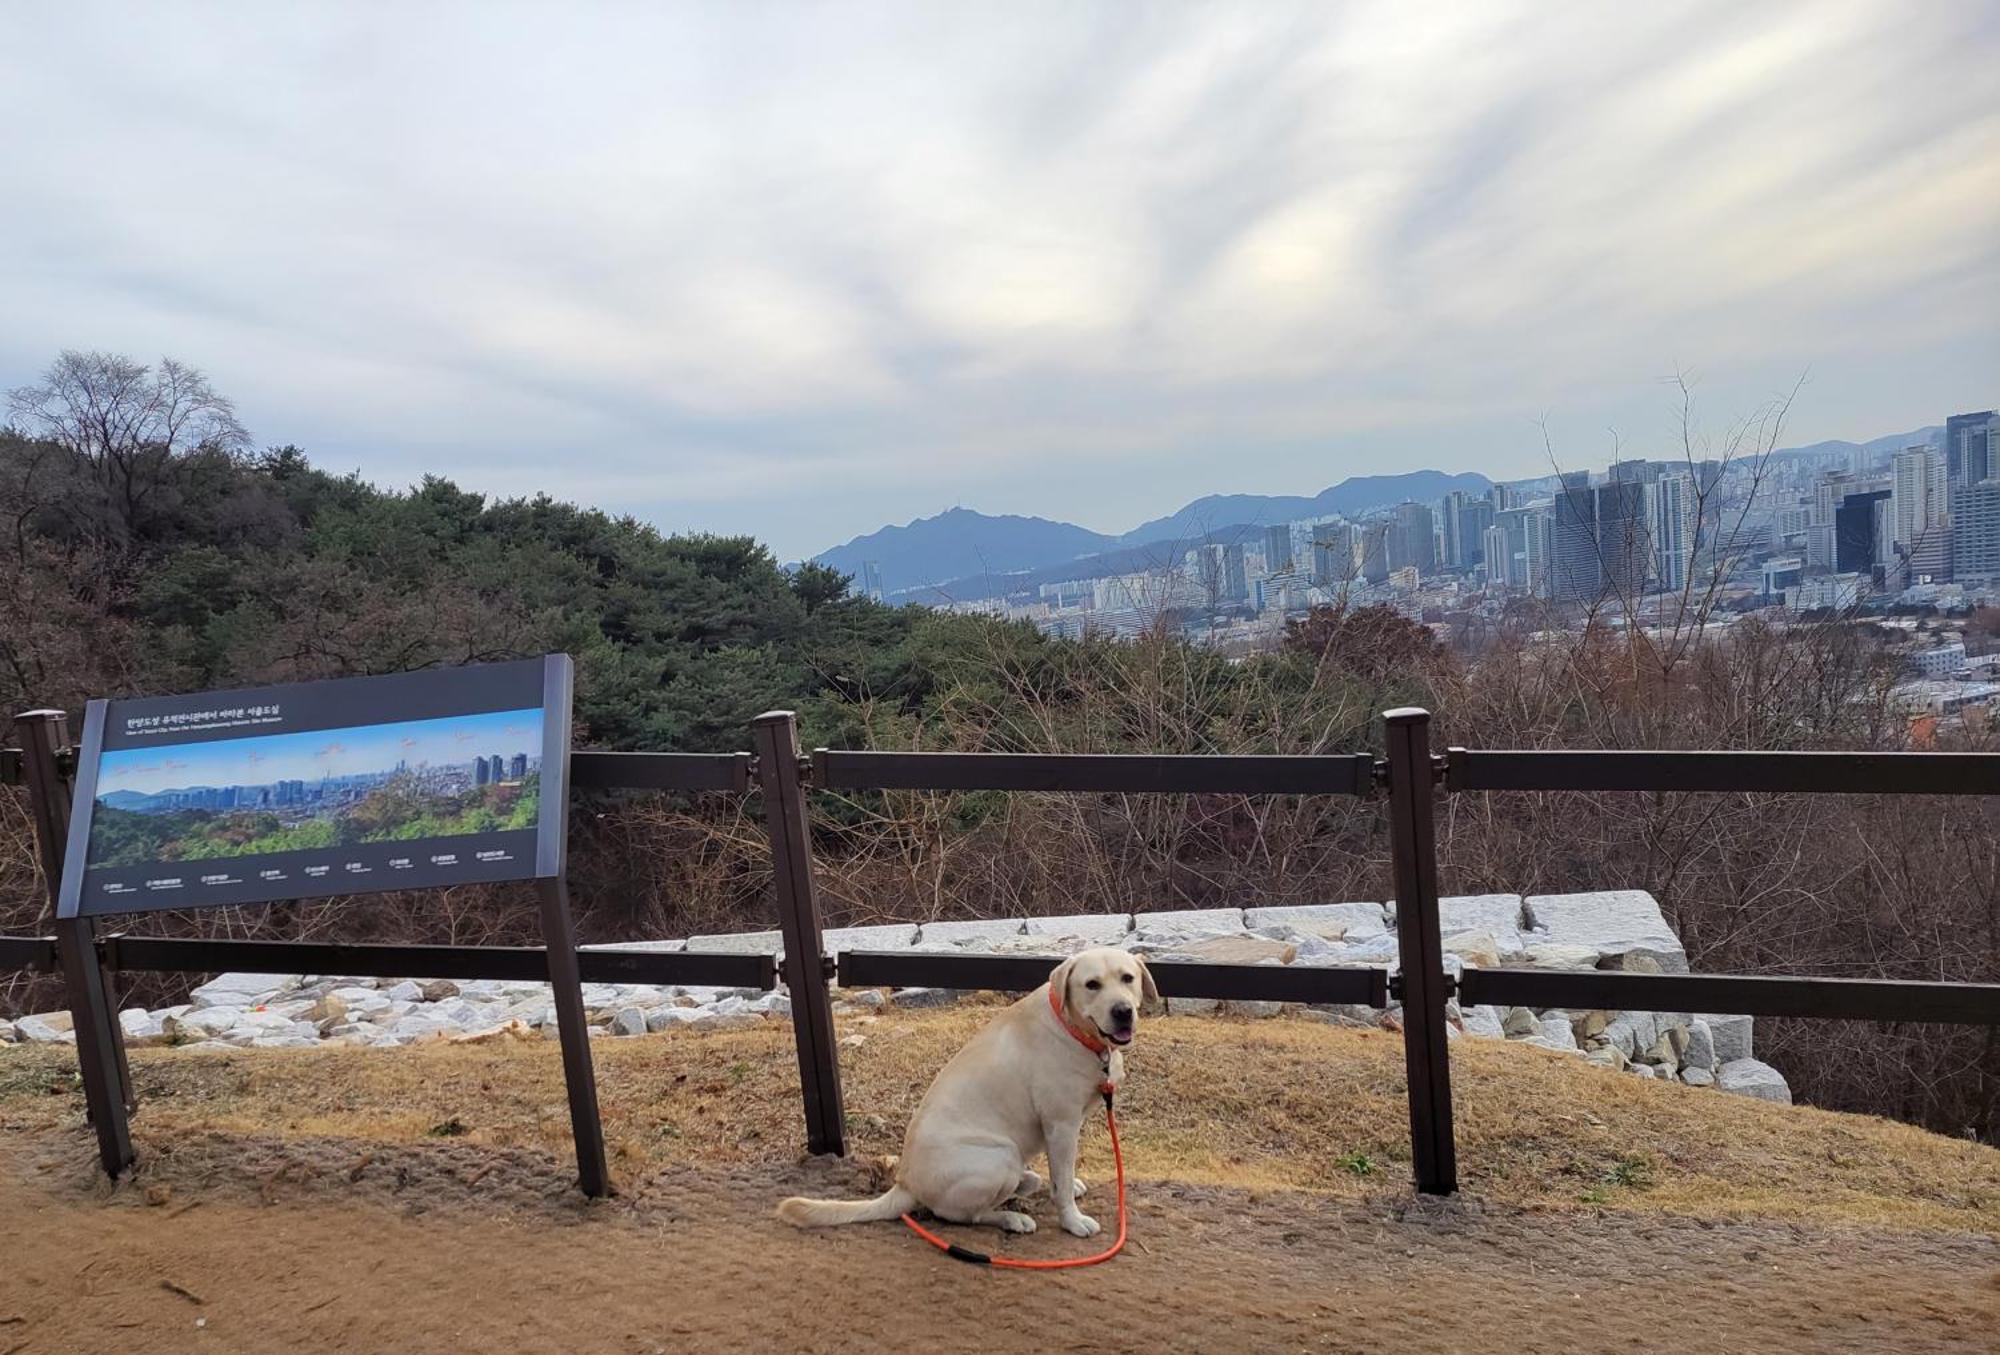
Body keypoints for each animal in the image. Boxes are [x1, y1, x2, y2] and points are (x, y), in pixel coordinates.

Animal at [780, 951, 1160, 1239]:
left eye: (1128, 978)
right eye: (1092, 984)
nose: (1123, 1011)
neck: (1074, 1030)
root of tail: (905, 1183)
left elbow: (1062, 1174)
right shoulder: (1061, 1123)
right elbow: (1061, 1183)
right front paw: (1073, 1220)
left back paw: (1026, 1183)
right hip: (999, 1157)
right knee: (963, 1215)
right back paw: (1012, 1218)